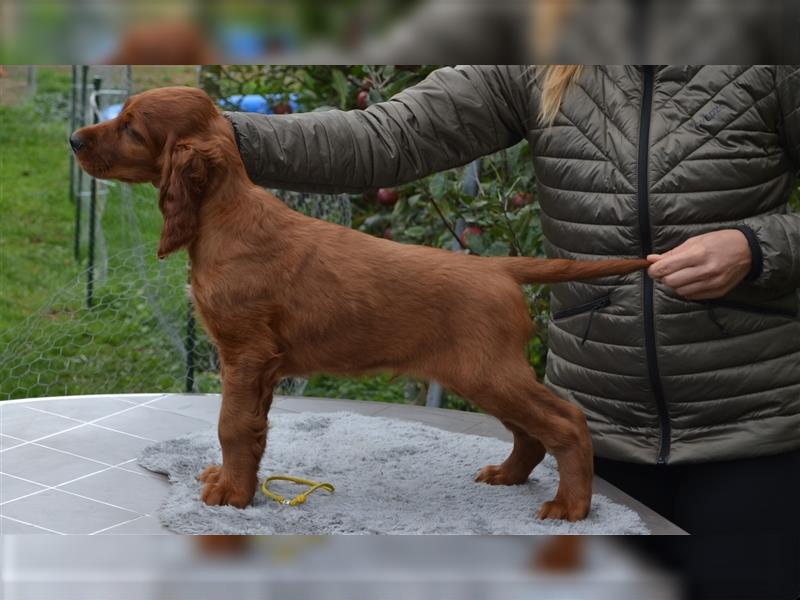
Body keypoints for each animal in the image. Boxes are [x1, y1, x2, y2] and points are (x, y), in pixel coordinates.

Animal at [72, 86, 648, 524]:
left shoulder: (245, 354)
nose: (73, 139)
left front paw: (230, 496)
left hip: (487, 371)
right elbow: (252, 431)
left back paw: (571, 505)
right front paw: (236, 482)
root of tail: (497, 267)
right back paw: (507, 476)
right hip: (483, 374)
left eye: (131, 127)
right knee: (531, 431)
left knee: (566, 421)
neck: (225, 217)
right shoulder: (262, 367)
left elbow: (231, 425)